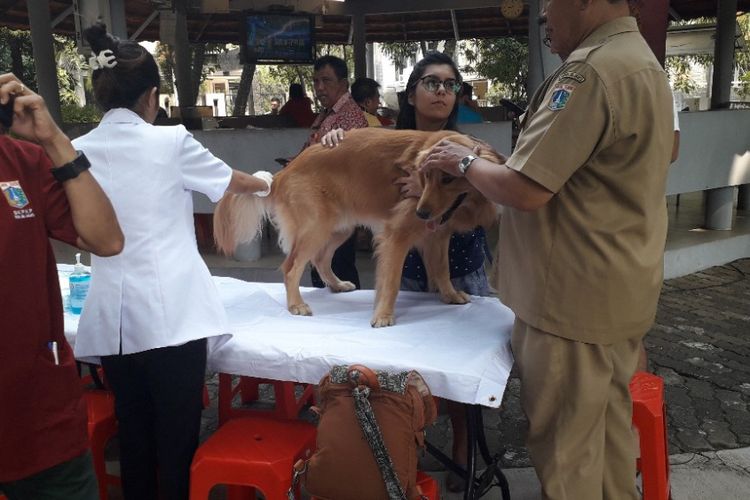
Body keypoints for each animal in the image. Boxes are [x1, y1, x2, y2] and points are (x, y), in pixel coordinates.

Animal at [214, 127, 502, 326]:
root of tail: (285, 171)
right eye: (425, 176)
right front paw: (383, 314)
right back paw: (296, 304)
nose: (421, 213)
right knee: (291, 267)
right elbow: (391, 281)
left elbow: (442, 270)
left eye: (448, 178)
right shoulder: (395, 235)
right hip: (316, 227)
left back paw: (337, 285)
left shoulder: (438, 236)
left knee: (320, 259)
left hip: (339, 229)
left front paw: (450, 295)